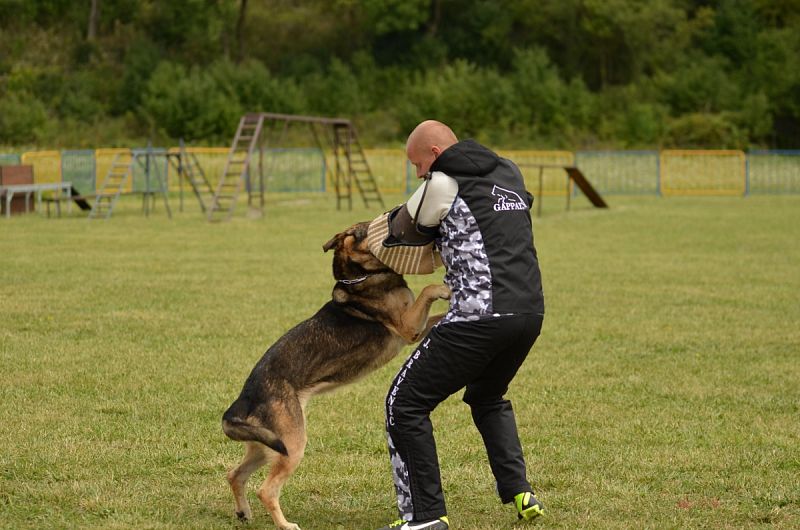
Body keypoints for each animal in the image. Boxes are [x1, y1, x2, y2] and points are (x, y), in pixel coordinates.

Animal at [222, 220, 454, 528]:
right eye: (365, 230)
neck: (361, 277)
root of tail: (244, 398)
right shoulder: (408, 328)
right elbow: (428, 290)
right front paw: (445, 289)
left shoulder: (415, 329)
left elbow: (438, 315)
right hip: (292, 445)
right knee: (266, 490)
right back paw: (285, 524)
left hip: (267, 445)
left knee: (235, 474)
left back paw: (243, 512)